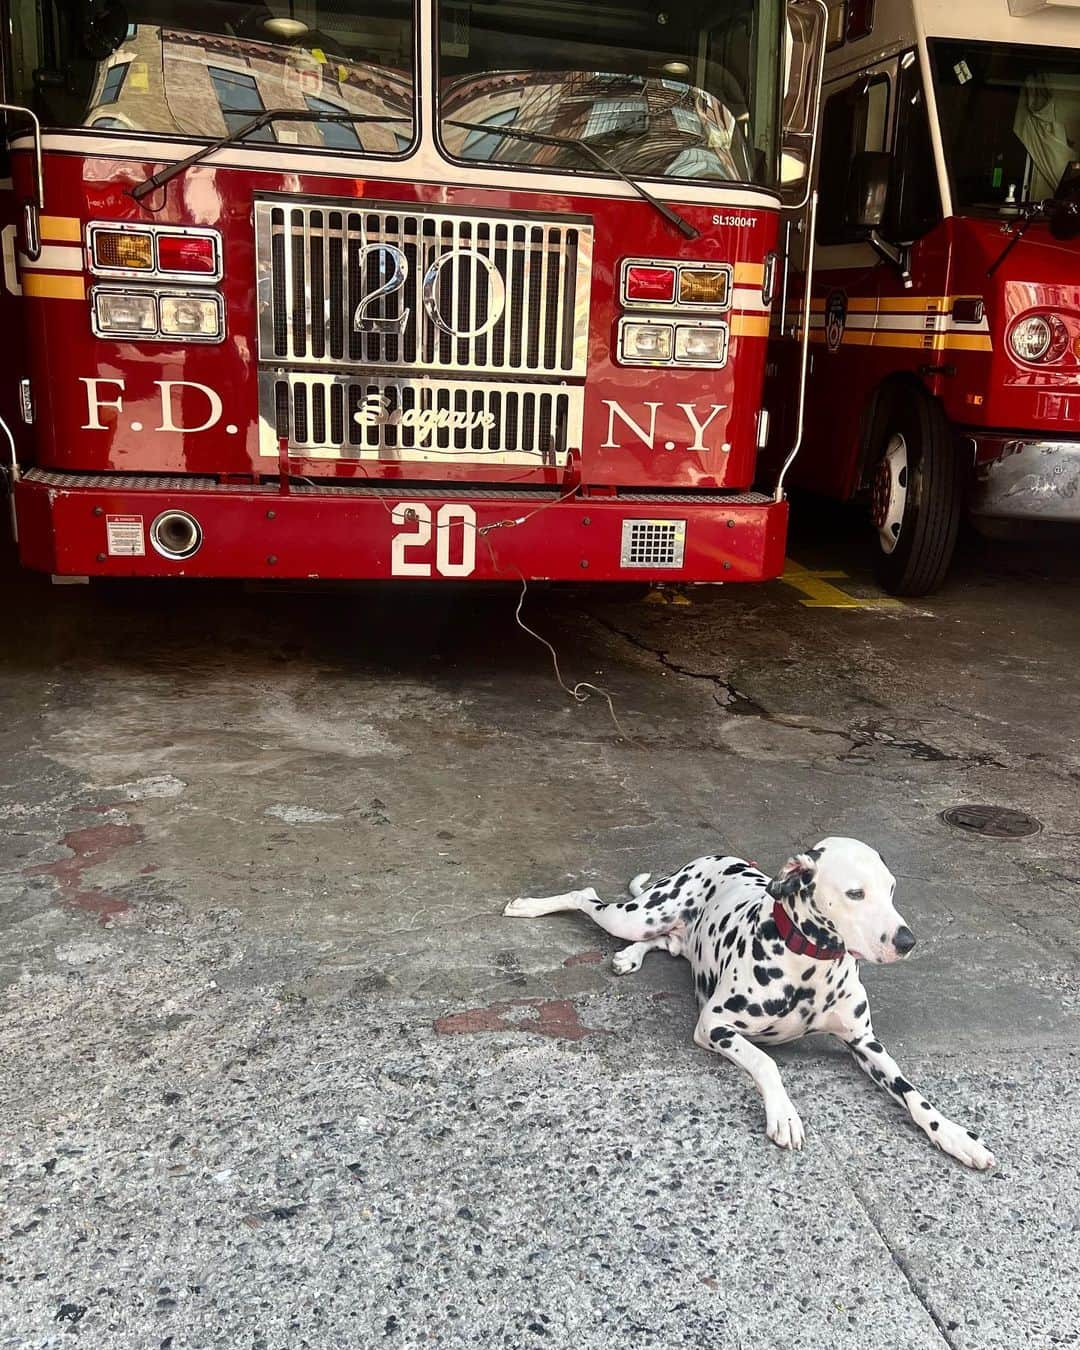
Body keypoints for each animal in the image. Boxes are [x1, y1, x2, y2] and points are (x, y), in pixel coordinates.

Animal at [507, 837, 993, 1166]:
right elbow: (766, 1061)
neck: (809, 963)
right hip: (636, 915)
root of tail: (715, 857)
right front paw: (784, 1115)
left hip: (668, 933)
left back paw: (630, 956)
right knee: (586, 897)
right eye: (856, 893)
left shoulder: (866, 1044)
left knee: (661, 941)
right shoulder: (715, 1025)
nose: (907, 942)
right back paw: (529, 907)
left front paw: (955, 1135)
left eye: (891, 889)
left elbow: (914, 1095)